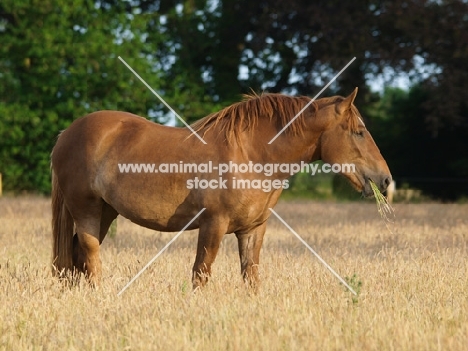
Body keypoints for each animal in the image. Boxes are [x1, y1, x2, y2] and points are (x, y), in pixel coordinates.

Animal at [50, 87, 392, 288]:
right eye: (360, 132)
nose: (386, 180)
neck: (252, 155)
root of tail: (67, 133)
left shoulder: (252, 229)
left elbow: (250, 276)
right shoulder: (212, 225)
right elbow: (201, 273)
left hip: (106, 212)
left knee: (78, 255)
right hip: (86, 210)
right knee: (90, 254)